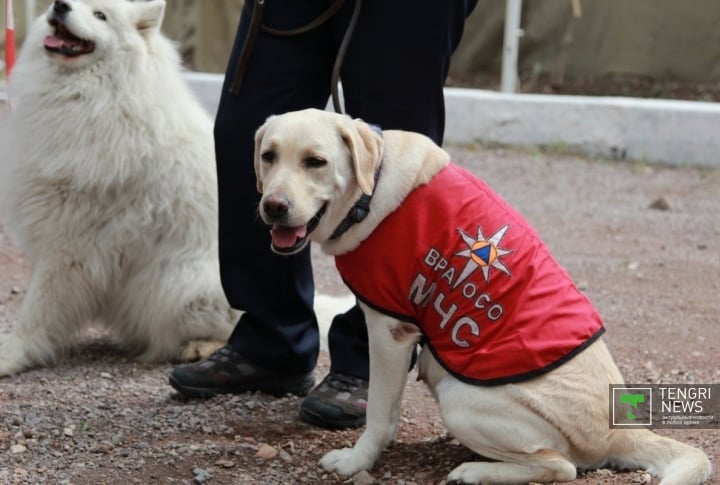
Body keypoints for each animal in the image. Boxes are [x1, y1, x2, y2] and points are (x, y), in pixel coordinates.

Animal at [0, 0, 239, 376]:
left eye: (101, 15)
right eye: (66, 1)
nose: (60, 6)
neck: (94, 94)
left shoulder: (69, 246)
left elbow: (36, 308)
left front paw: (11, 355)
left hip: (178, 286)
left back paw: (199, 349)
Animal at [252, 109, 708, 484]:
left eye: (316, 161)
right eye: (269, 156)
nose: (273, 206)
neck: (371, 189)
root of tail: (619, 432)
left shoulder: (389, 329)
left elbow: (379, 413)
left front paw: (355, 462)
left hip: (460, 398)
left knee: (560, 466)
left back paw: (474, 471)